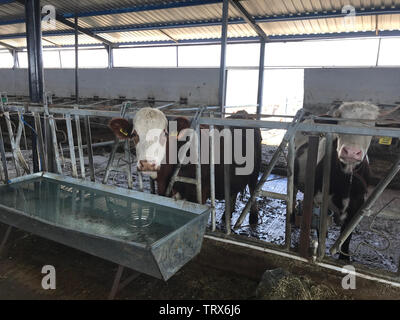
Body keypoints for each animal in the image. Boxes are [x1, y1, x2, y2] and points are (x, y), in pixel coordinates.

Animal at [108, 109, 262, 226]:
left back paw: (253, 219)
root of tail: (242, 113)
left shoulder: (200, 196)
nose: (147, 163)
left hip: (254, 172)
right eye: (134, 134)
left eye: (164, 133)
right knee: (232, 191)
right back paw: (227, 215)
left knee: (253, 190)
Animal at [294, 102, 382, 260]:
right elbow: (320, 226)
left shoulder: (356, 205)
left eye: (372, 125)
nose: (351, 152)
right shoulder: (320, 200)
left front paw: (344, 257)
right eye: (339, 120)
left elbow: (346, 236)